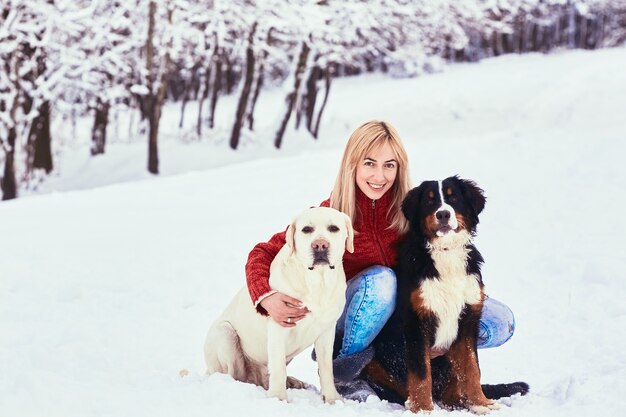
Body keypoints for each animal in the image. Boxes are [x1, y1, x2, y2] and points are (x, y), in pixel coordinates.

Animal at [204, 206, 352, 402]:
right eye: (307, 230)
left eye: (333, 228)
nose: (320, 245)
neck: (316, 282)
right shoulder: (279, 326)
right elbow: (278, 367)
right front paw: (278, 398)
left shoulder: (326, 330)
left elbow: (327, 367)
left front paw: (332, 399)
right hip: (225, 333)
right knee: (234, 375)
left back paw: (292, 381)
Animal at [360, 176, 528, 412]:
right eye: (430, 201)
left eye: (453, 198)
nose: (443, 214)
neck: (446, 253)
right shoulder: (416, 321)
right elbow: (421, 373)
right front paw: (422, 408)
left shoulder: (468, 320)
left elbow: (472, 369)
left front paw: (481, 403)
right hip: (373, 363)